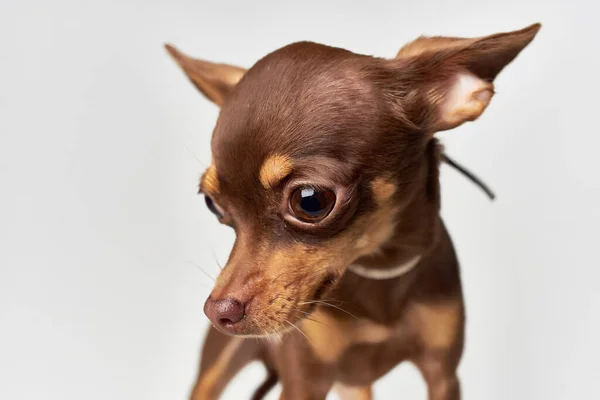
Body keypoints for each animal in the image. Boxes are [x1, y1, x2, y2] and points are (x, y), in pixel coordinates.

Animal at [164, 23, 540, 398]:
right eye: (213, 204)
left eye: (310, 200)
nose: (217, 312)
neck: (379, 266)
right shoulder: (305, 381)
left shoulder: (443, 375)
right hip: (216, 368)